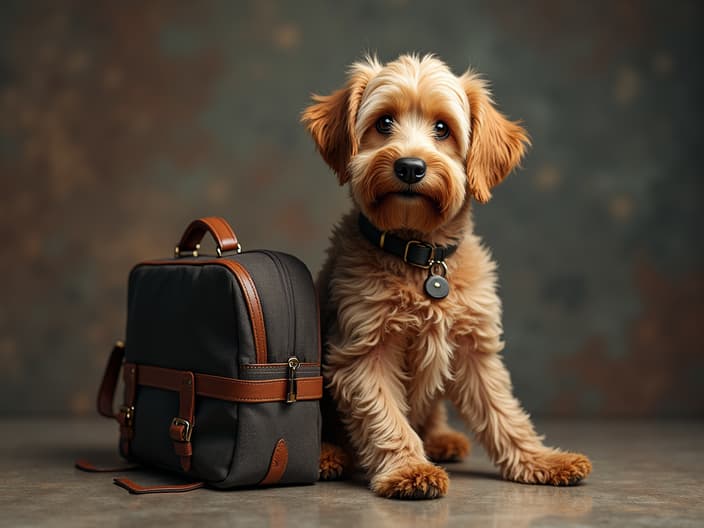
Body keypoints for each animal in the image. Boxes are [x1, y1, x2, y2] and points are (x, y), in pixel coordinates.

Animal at [302, 53, 592, 500]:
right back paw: (327, 455)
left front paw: (540, 460)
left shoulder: (476, 348)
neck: (421, 257)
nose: (410, 167)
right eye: (384, 122)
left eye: (442, 128)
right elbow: (385, 416)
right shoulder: (363, 350)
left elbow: (504, 412)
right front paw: (408, 469)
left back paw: (441, 439)